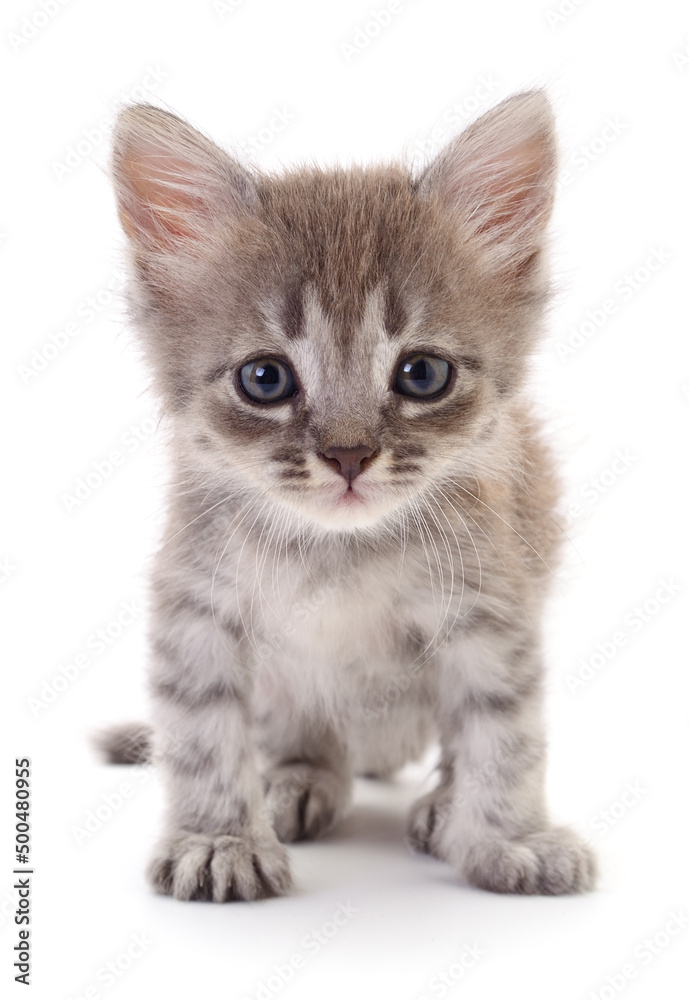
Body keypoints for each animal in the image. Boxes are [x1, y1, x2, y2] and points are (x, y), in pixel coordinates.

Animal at [101, 94, 596, 904]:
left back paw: (442, 803)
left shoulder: (493, 608)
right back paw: (296, 777)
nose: (348, 456)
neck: (338, 552)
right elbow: (203, 732)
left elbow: (503, 732)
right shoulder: (196, 607)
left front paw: (509, 836)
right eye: (264, 379)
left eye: (422, 374)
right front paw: (219, 838)